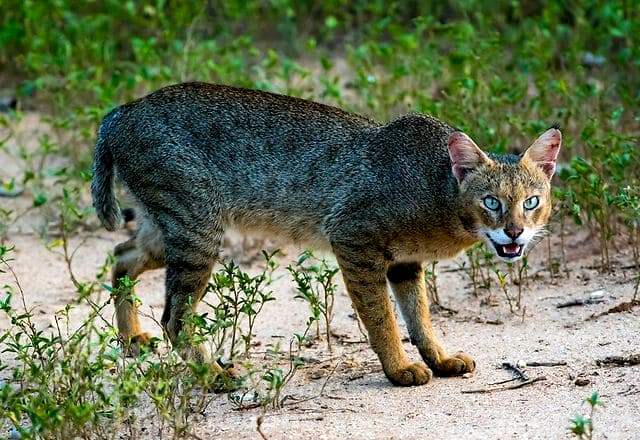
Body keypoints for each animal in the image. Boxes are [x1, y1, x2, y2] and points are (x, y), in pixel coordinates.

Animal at [90, 81, 560, 384]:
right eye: (492, 203)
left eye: (531, 202)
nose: (514, 232)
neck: (437, 190)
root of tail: (122, 110)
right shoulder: (354, 242)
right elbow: (381, 318)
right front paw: (398, 369)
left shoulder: (405, 262)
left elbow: (420, 316)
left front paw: (439, 358)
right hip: (197, 232)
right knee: (174, 316)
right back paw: (211, 376)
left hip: (170, 231)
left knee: (120, 255)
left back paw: (130, 338)